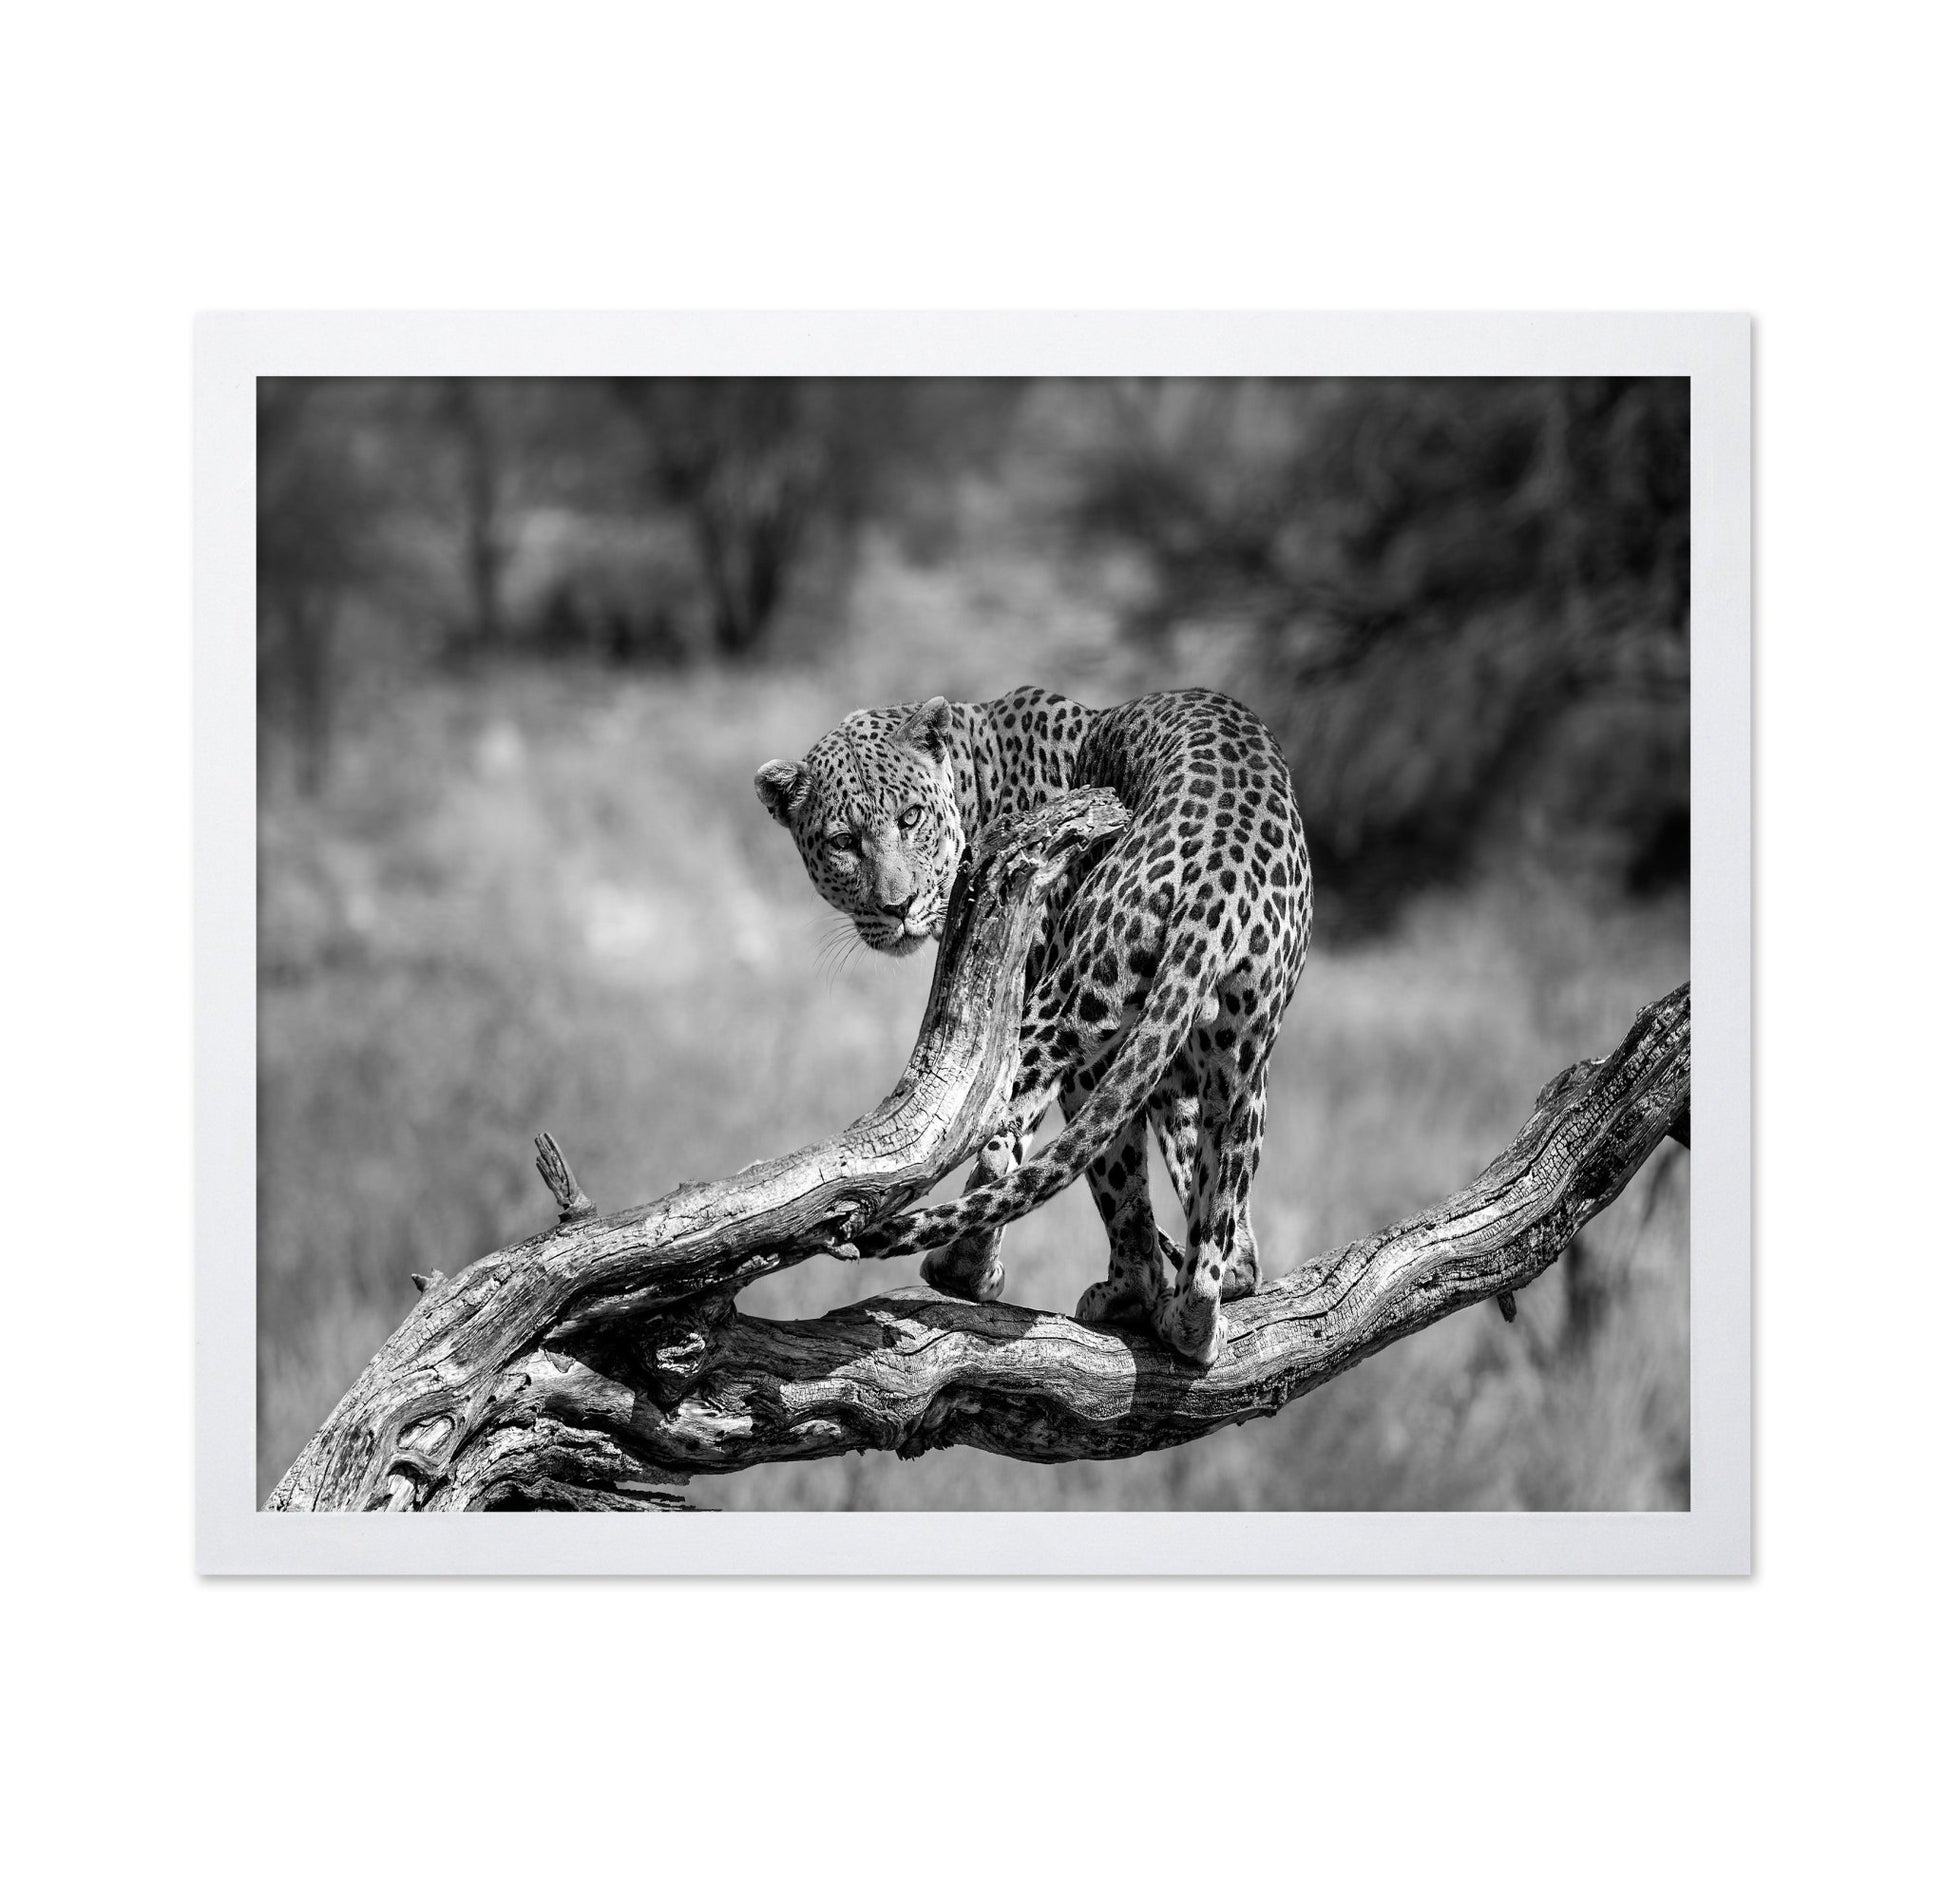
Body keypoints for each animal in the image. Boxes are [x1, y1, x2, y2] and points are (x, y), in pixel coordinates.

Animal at [755, 684, 1312, 1366]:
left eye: (909, 819)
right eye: (843, 841)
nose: (898, 906)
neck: (974, 779)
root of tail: (1218, 881)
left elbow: (1014, 1145)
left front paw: (974, 1270)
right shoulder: (1176, 1064)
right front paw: (1231, 1275)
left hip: (1075, 1011)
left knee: (1050, 1148)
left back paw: (1069, 1284)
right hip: (1239, 1054)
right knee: (1217, 1198)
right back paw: (1194, 1314)